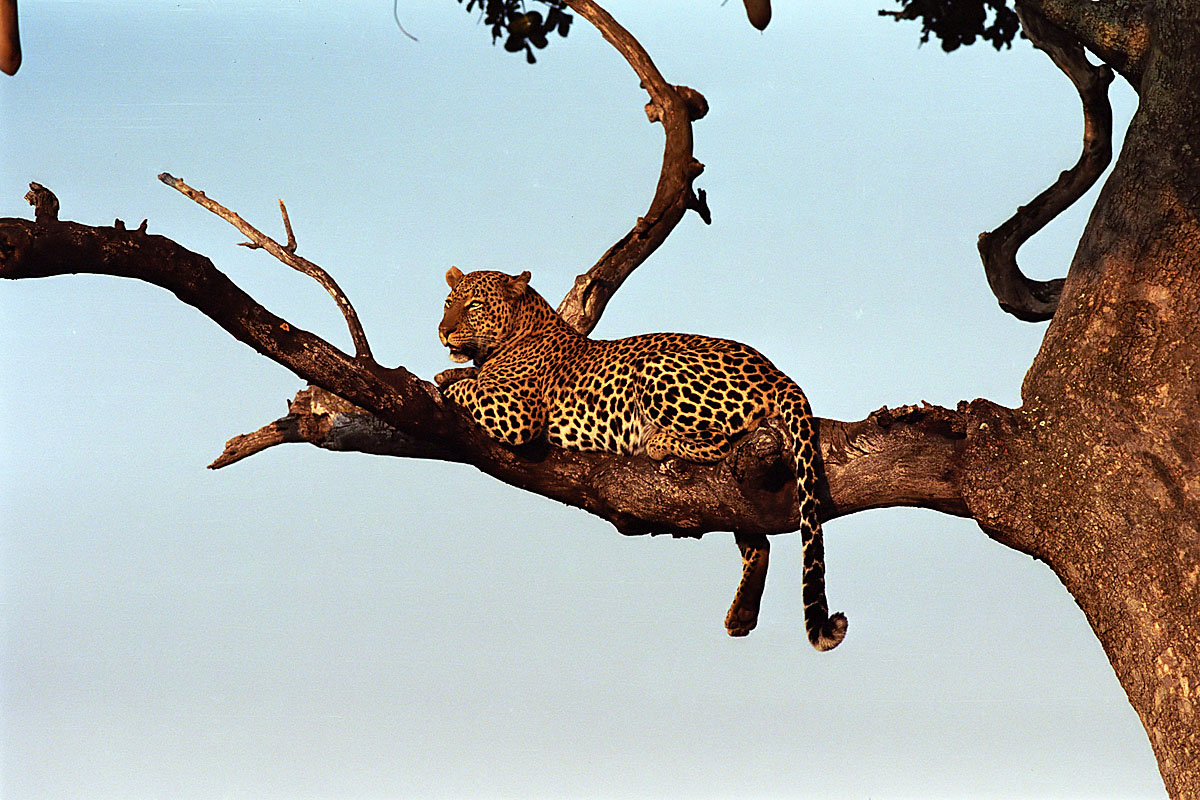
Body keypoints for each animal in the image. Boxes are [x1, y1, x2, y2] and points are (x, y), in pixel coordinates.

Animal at [436, 267, 847, 651]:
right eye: (448, 303)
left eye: (474, 306)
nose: (443, 331)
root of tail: (774, 370)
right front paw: (448, 372)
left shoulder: (517, 412)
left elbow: (472, 388)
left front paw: (451, 384)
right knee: (754, 535)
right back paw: (742, 612)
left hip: (655, 368)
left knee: (720, 443)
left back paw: (657, 441)